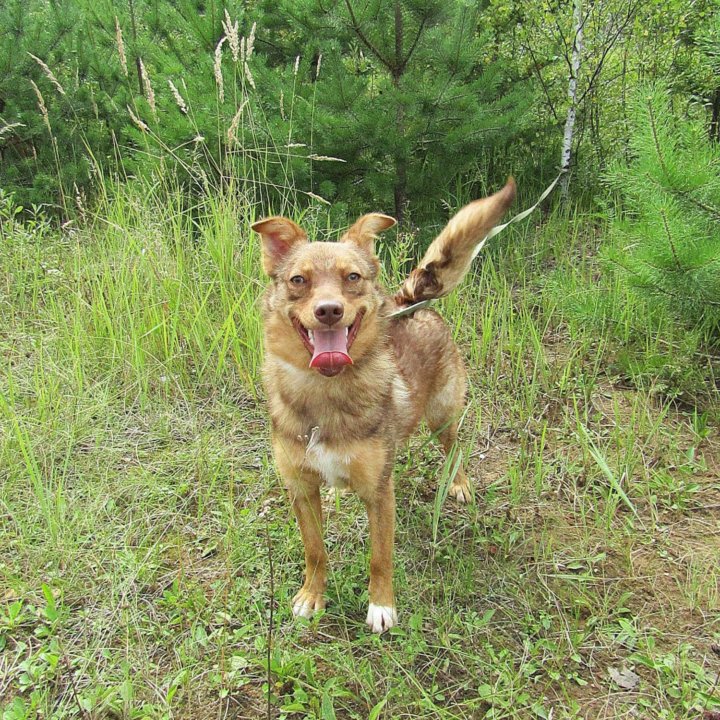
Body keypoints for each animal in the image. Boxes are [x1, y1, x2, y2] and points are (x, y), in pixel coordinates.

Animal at [250, 179, 516, 632]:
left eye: (352, 277)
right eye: (298, 279)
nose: (328, 310)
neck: (326, 394)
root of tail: (406, 302)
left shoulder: (378, 494)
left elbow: (380, 557)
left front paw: (381, 606)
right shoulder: (301, 487)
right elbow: (315, 551)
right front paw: (312, 596)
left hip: (443, 414)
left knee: (454, 448)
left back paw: (459, 484)